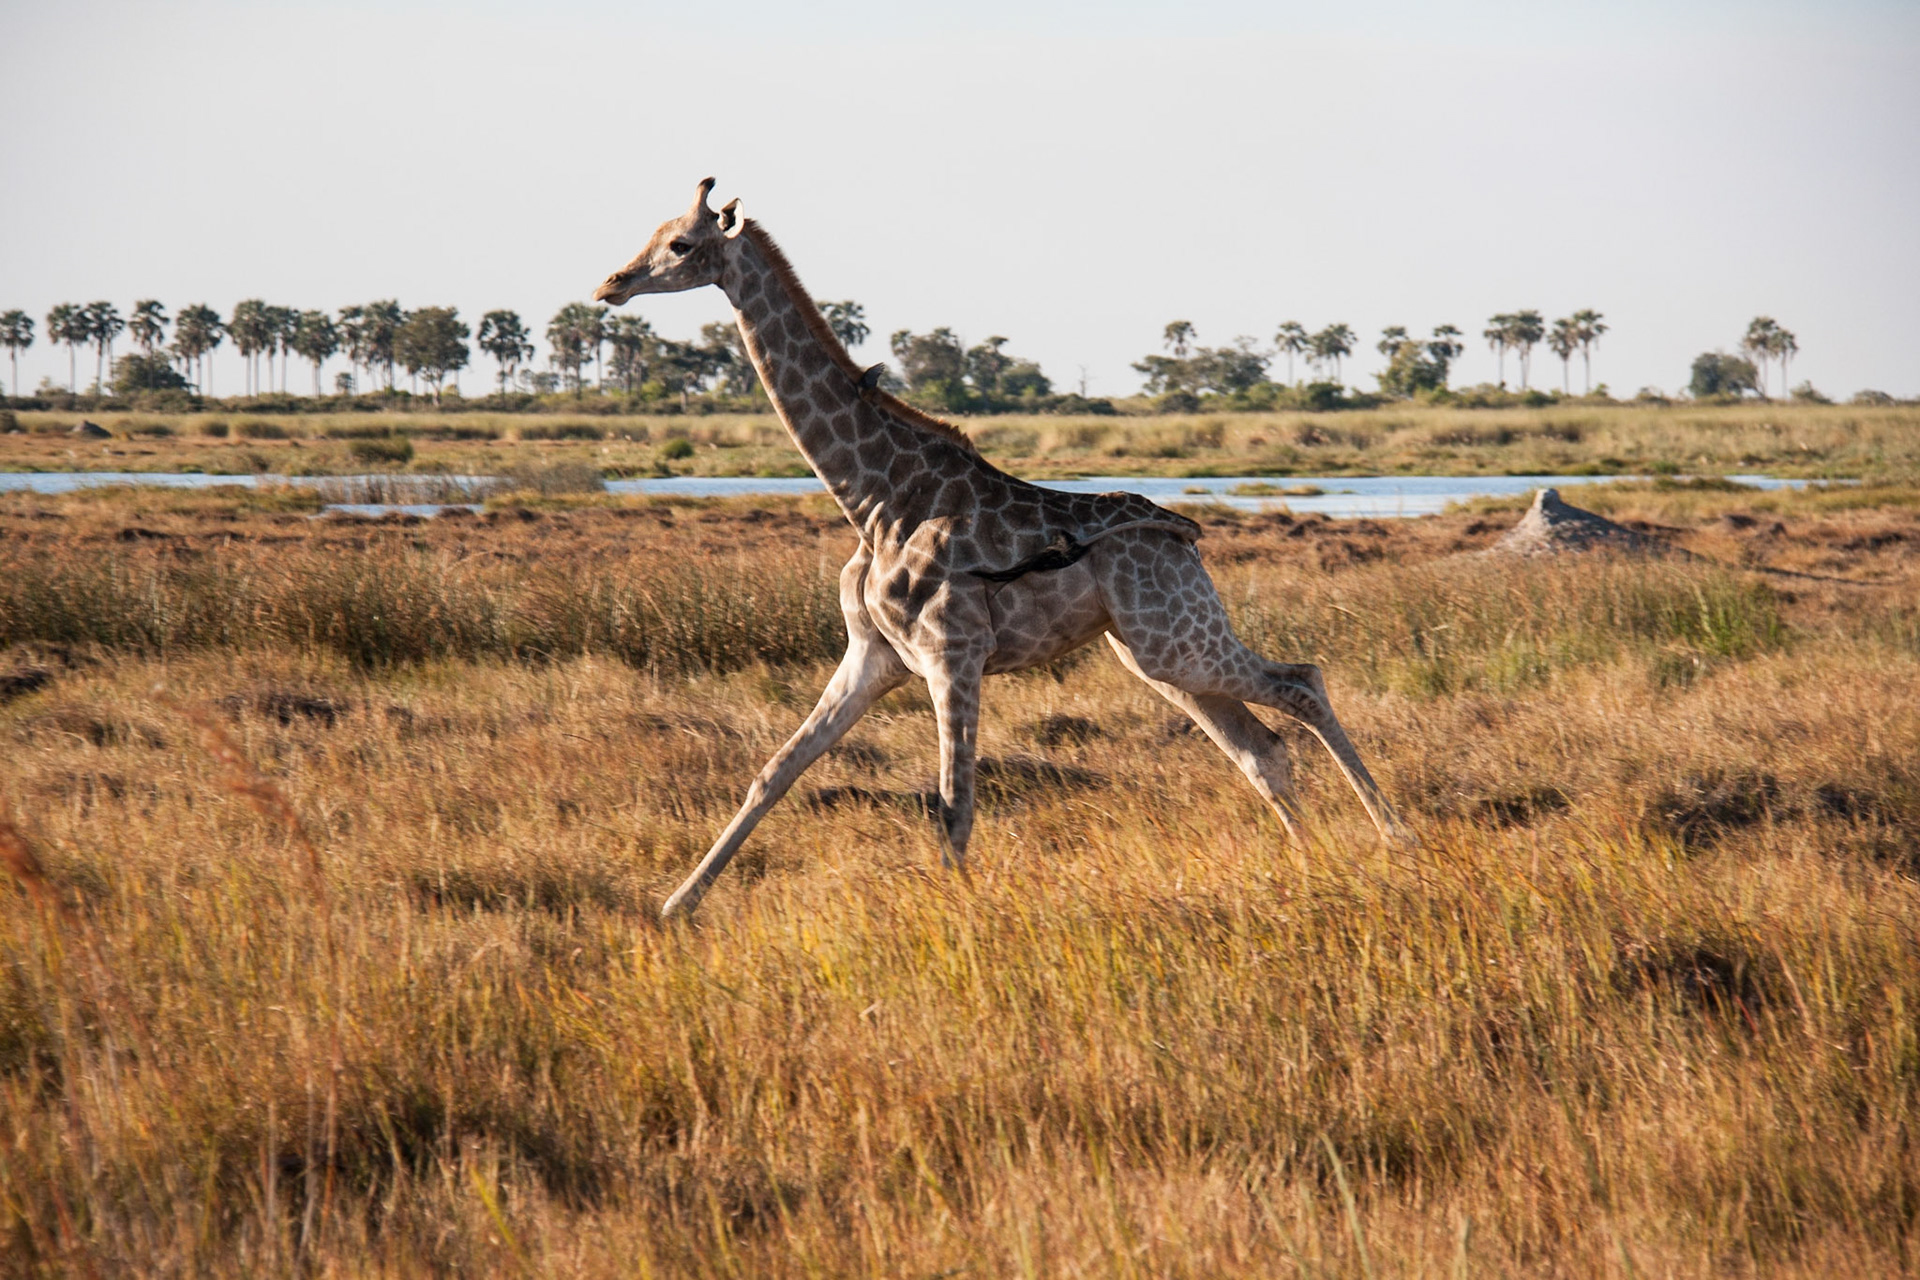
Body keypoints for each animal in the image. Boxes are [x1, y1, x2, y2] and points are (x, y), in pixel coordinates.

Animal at [595, 179, 1411, 920]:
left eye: (681, 244)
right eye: (654, 233)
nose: (611, 283)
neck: (874, 497)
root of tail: (1185, 536)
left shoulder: (950, 653)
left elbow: (954, 806)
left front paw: (958, 927)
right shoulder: (874, 654)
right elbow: (774, 771)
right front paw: (676, 905)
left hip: (1179, 640)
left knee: (1301, 683)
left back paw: (1394, 838)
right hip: (1152, 653)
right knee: (1260, 748)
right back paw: (1306, 862)